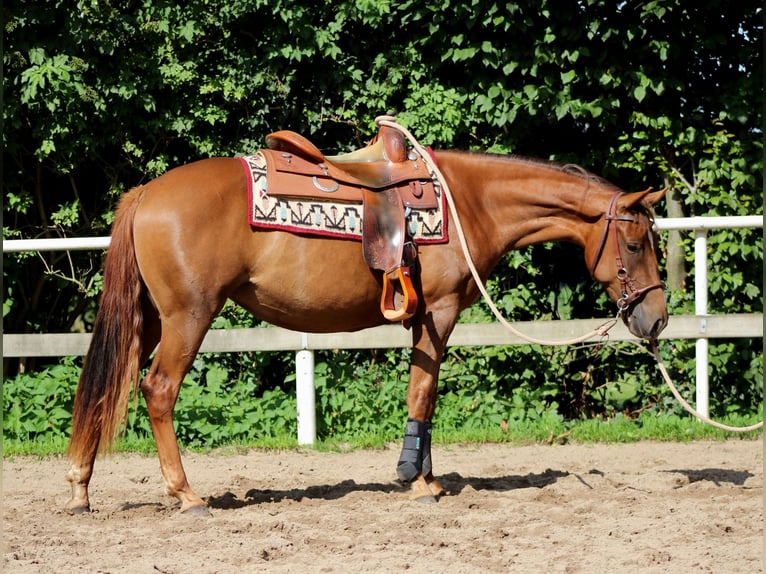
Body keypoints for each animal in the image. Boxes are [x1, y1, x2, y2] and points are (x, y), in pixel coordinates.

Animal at [65, 139, 667, 516]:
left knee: (103, 389)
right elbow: (422, 392)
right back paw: (186, 495)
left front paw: (427, 475)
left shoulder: (423, 318)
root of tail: (146, 193)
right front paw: (416, 481)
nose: (656, 317)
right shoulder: (439, 311)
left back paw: (79, 490)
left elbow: (426, 393)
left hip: (145, 318)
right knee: (158, 390)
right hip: (188, 317)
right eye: (636, 243)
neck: (470, 200)